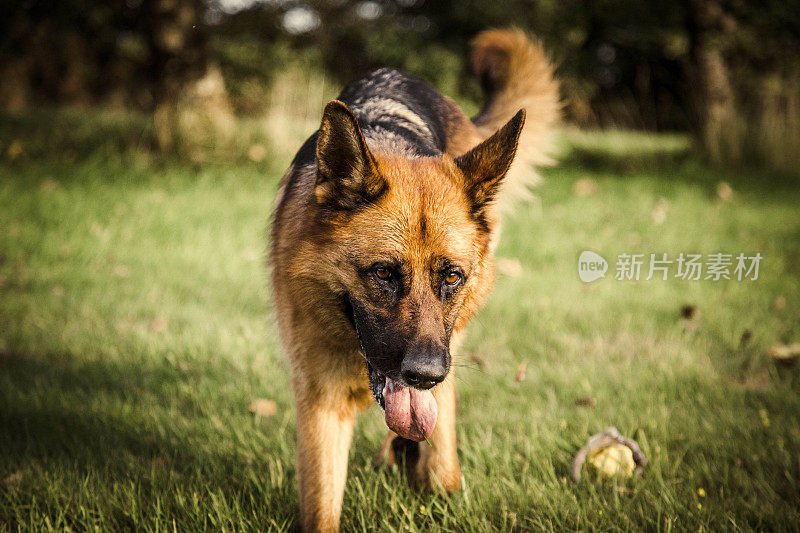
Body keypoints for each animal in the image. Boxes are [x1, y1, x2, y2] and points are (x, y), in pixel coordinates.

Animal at [272, 28, 560, 528]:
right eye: (384, 273)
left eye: (452, 276)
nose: (424, 374)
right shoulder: (319, 404)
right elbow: (322, 508)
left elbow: (443, 470)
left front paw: (425, 470)